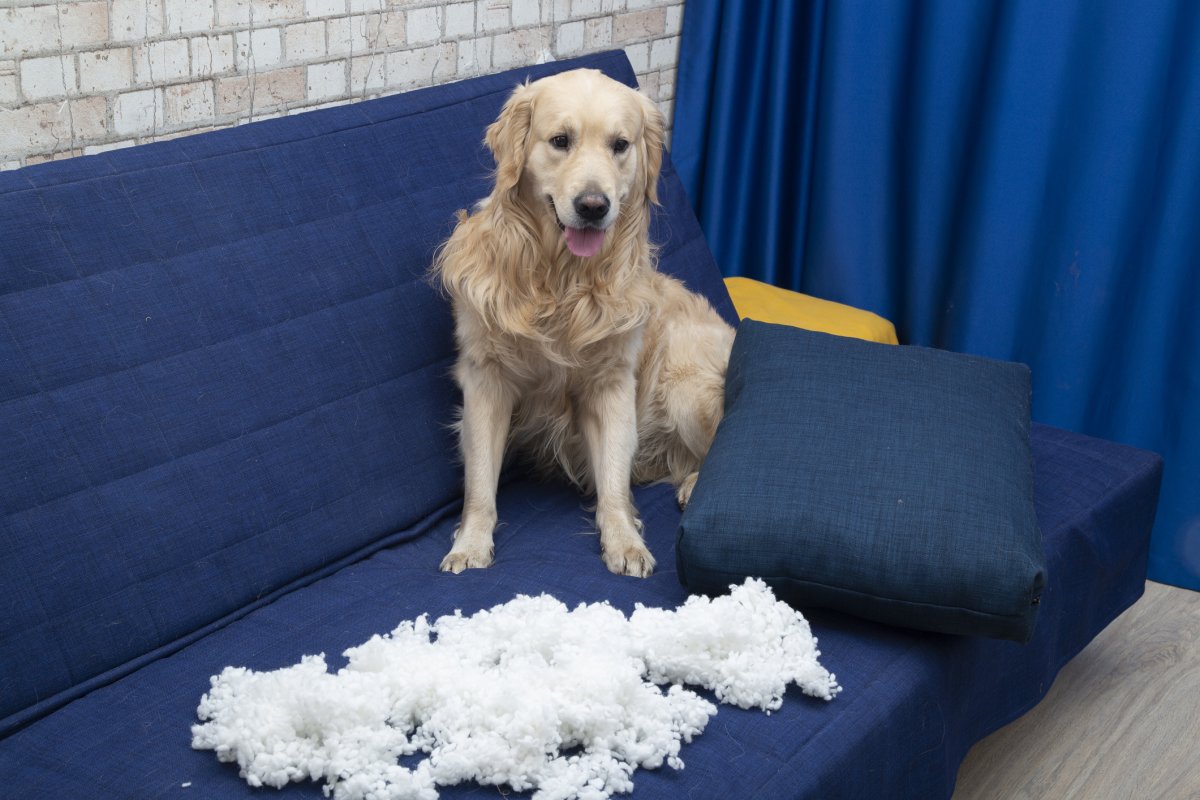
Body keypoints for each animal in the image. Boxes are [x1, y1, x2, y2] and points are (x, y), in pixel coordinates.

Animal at [432, 68, 729, 575]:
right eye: (560, 141)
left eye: (620, 145)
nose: (594, 205)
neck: (561, 283)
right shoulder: (486, 378)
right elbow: (480, 482)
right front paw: (469, 545)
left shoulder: (611, 384)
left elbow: (613, 480)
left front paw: (625, 542)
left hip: (687, 386)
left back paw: (693, 486)